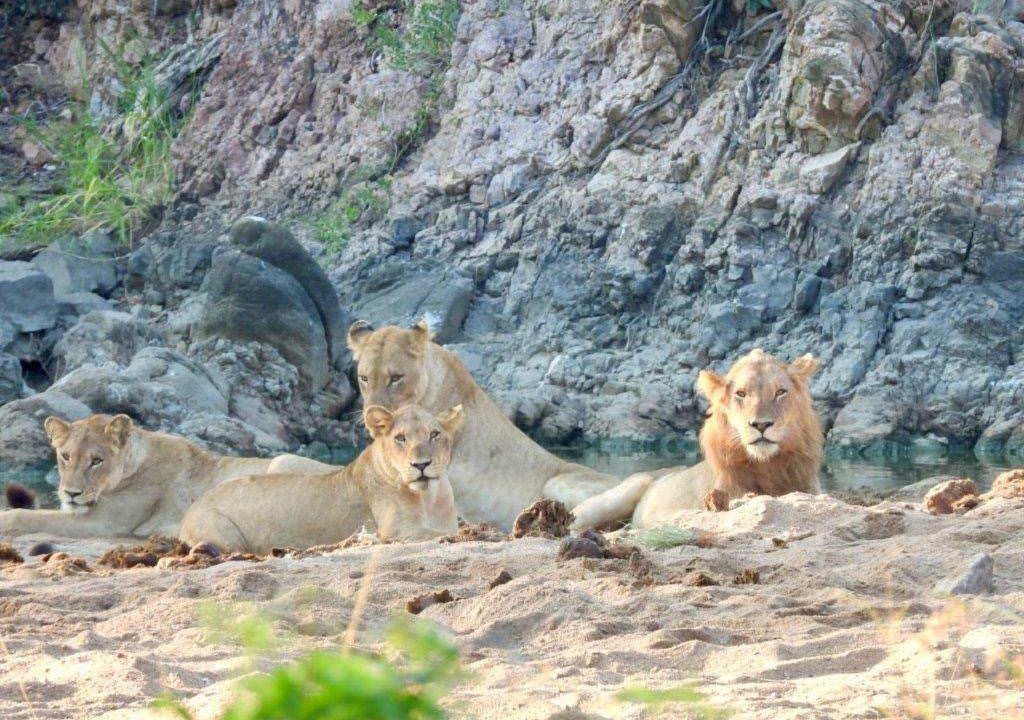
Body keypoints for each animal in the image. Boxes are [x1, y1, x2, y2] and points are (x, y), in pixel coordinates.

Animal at [0, 414, 323, 538]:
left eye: (96, 461)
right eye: (65, 456)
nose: (71, 493)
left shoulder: (104, 524)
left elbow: (26, 516)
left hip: (280, 461)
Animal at [179, 404, 463, 553]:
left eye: (434, 434)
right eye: (400, 438)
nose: (421, 464)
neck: (429, 498)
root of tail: (192, 506)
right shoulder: (397, 531)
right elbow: (444, 533)